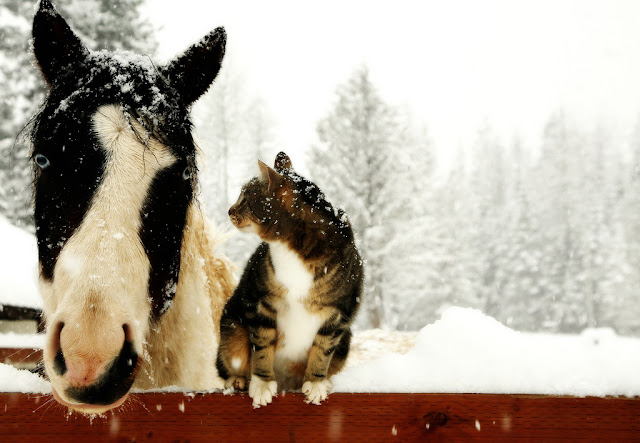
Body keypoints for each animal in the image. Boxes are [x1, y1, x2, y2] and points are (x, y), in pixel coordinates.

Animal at [218, 152, 362, 406]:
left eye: (245, 197)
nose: (229, 210)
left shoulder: (340, 313)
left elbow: (324, 349)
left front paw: (316, 383)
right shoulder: (259, 301)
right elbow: (262, 344)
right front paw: (262, 384)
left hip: (345, 342)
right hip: (232, 327)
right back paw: (237, 381)